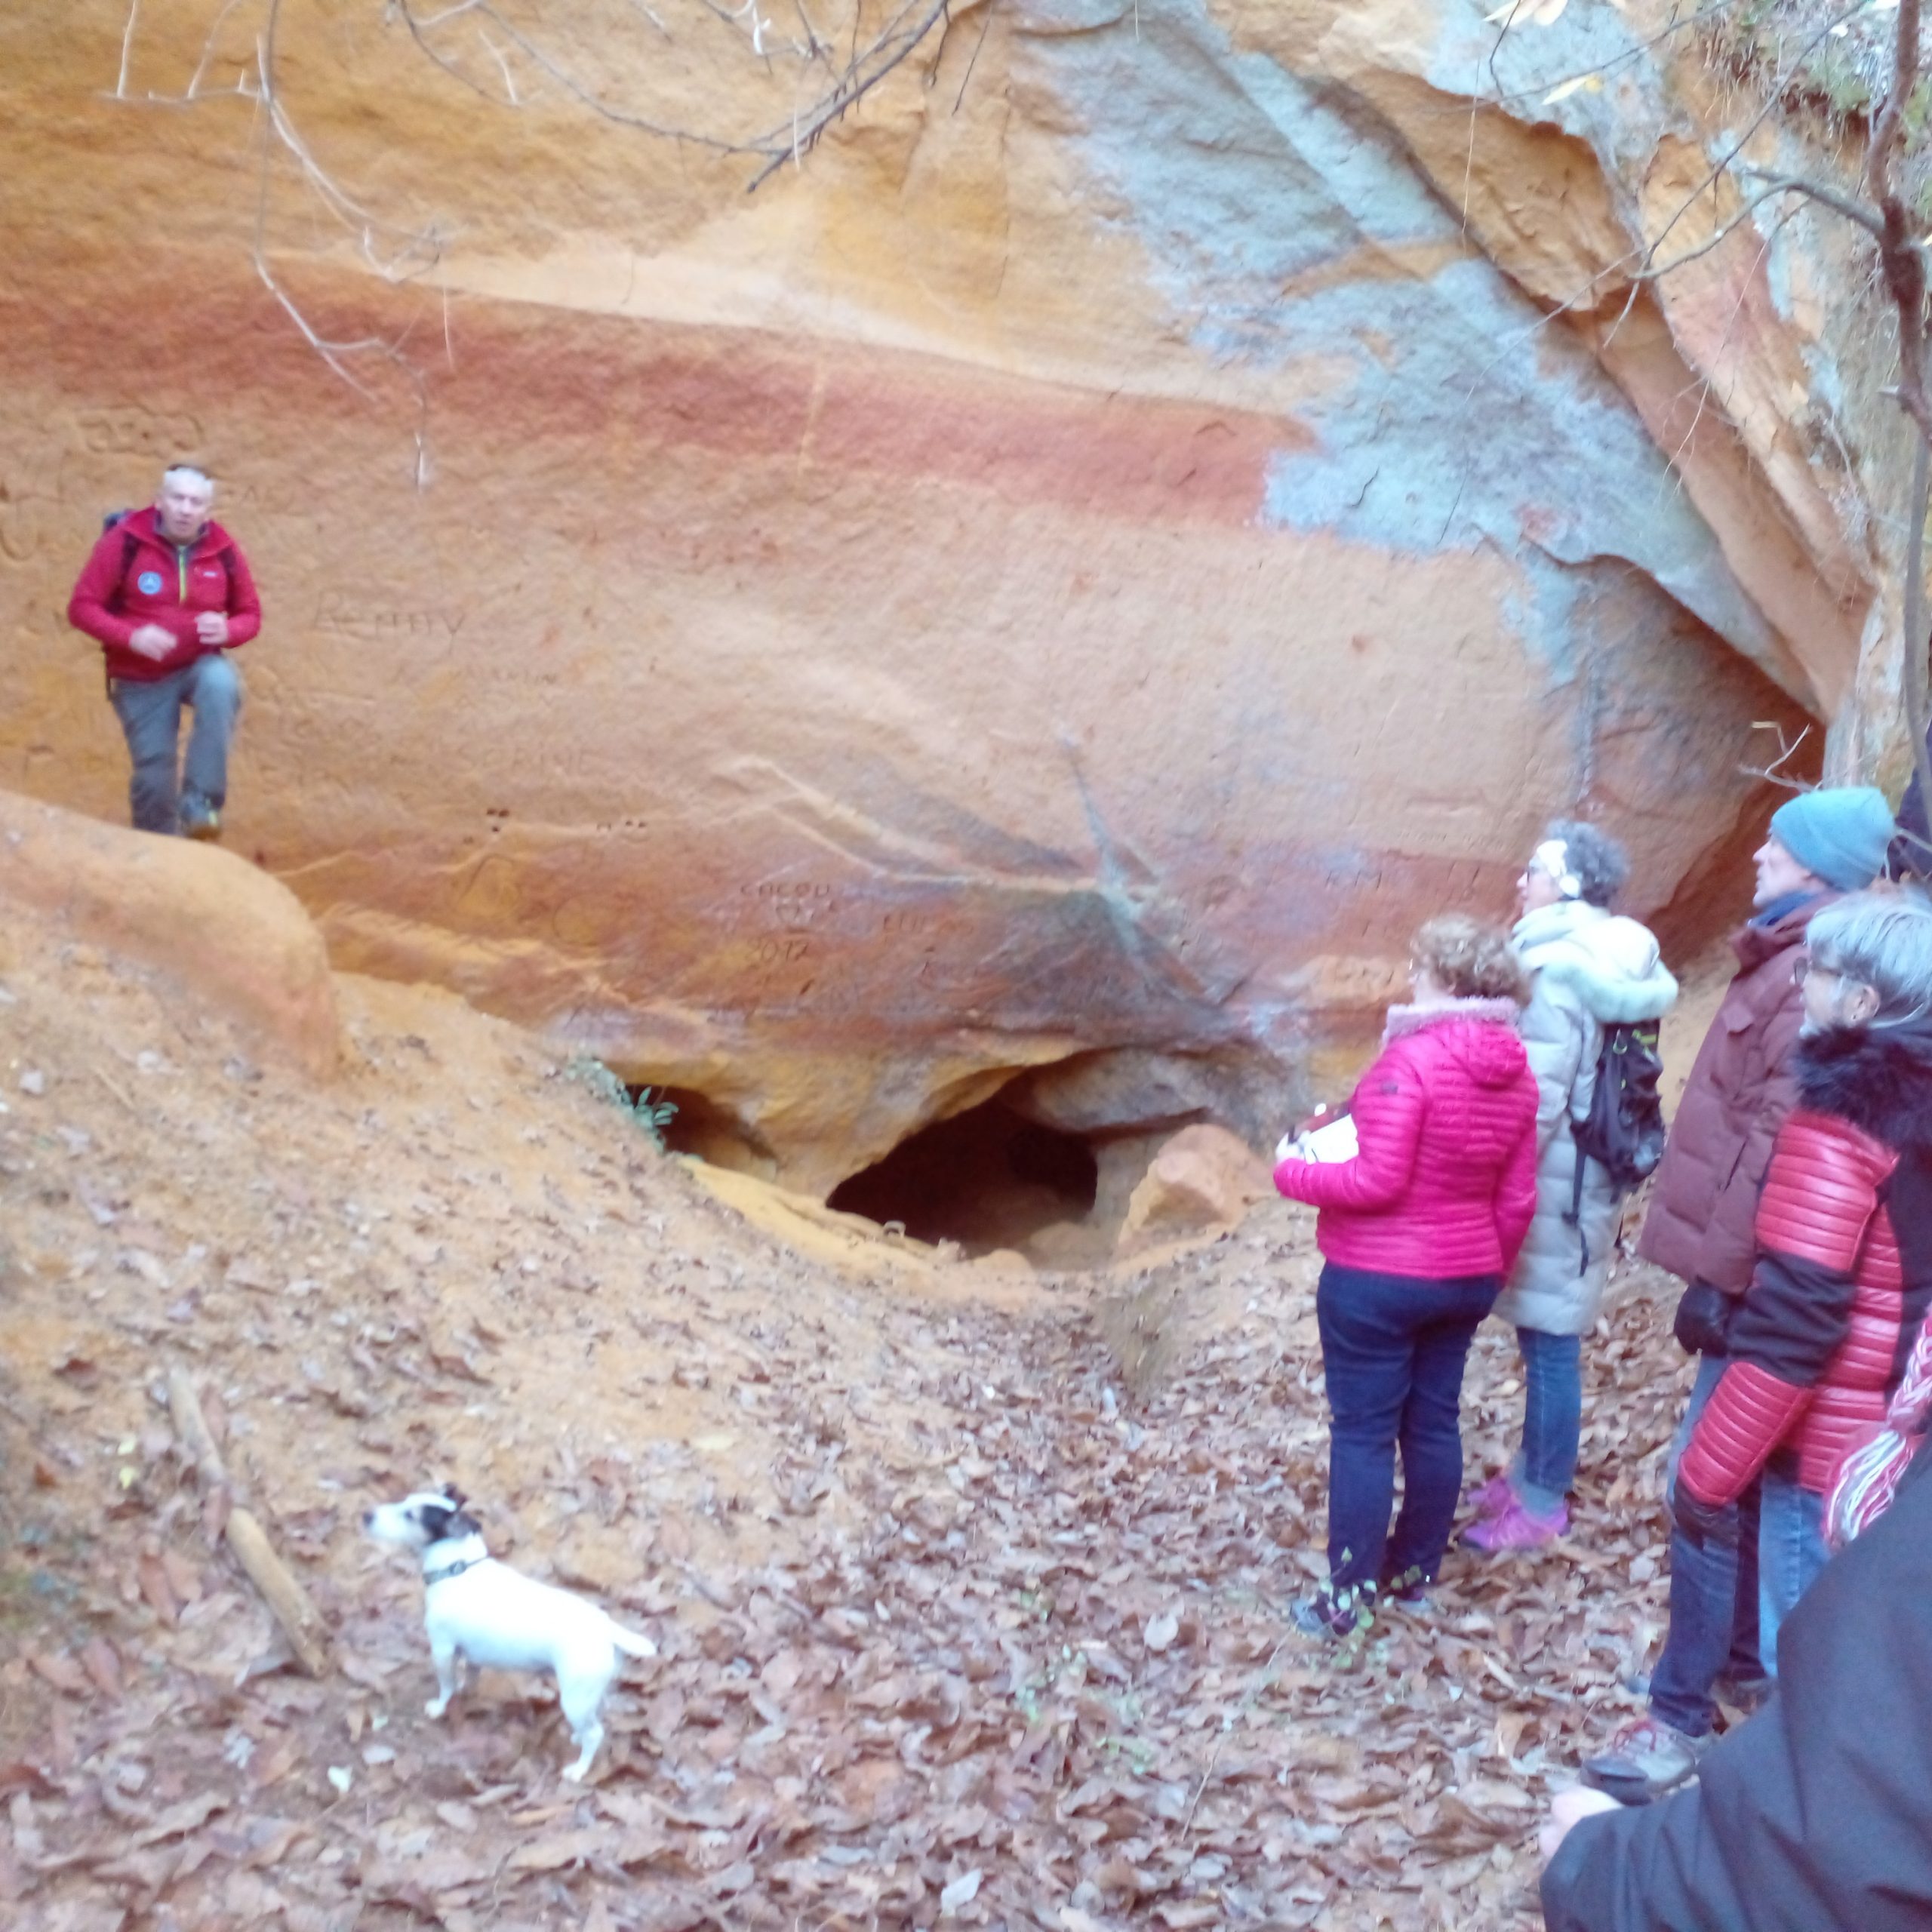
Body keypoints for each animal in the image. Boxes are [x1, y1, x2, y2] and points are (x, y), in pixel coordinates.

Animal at [362, 1489, 658, 1780]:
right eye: (403, 1499)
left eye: (410, 1516)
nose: (366, 1515)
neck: (458, 1568)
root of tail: (606, 1628)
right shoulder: (469, 1653)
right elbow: (470, 1675)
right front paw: (464, 1688)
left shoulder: (442, 1649)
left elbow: (446, 1684)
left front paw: (440, 1706)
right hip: (591, 1693)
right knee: (597, 1718)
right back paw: (577, 1737)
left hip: (574, 1698)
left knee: (595, 1734)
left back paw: (578, 1770)